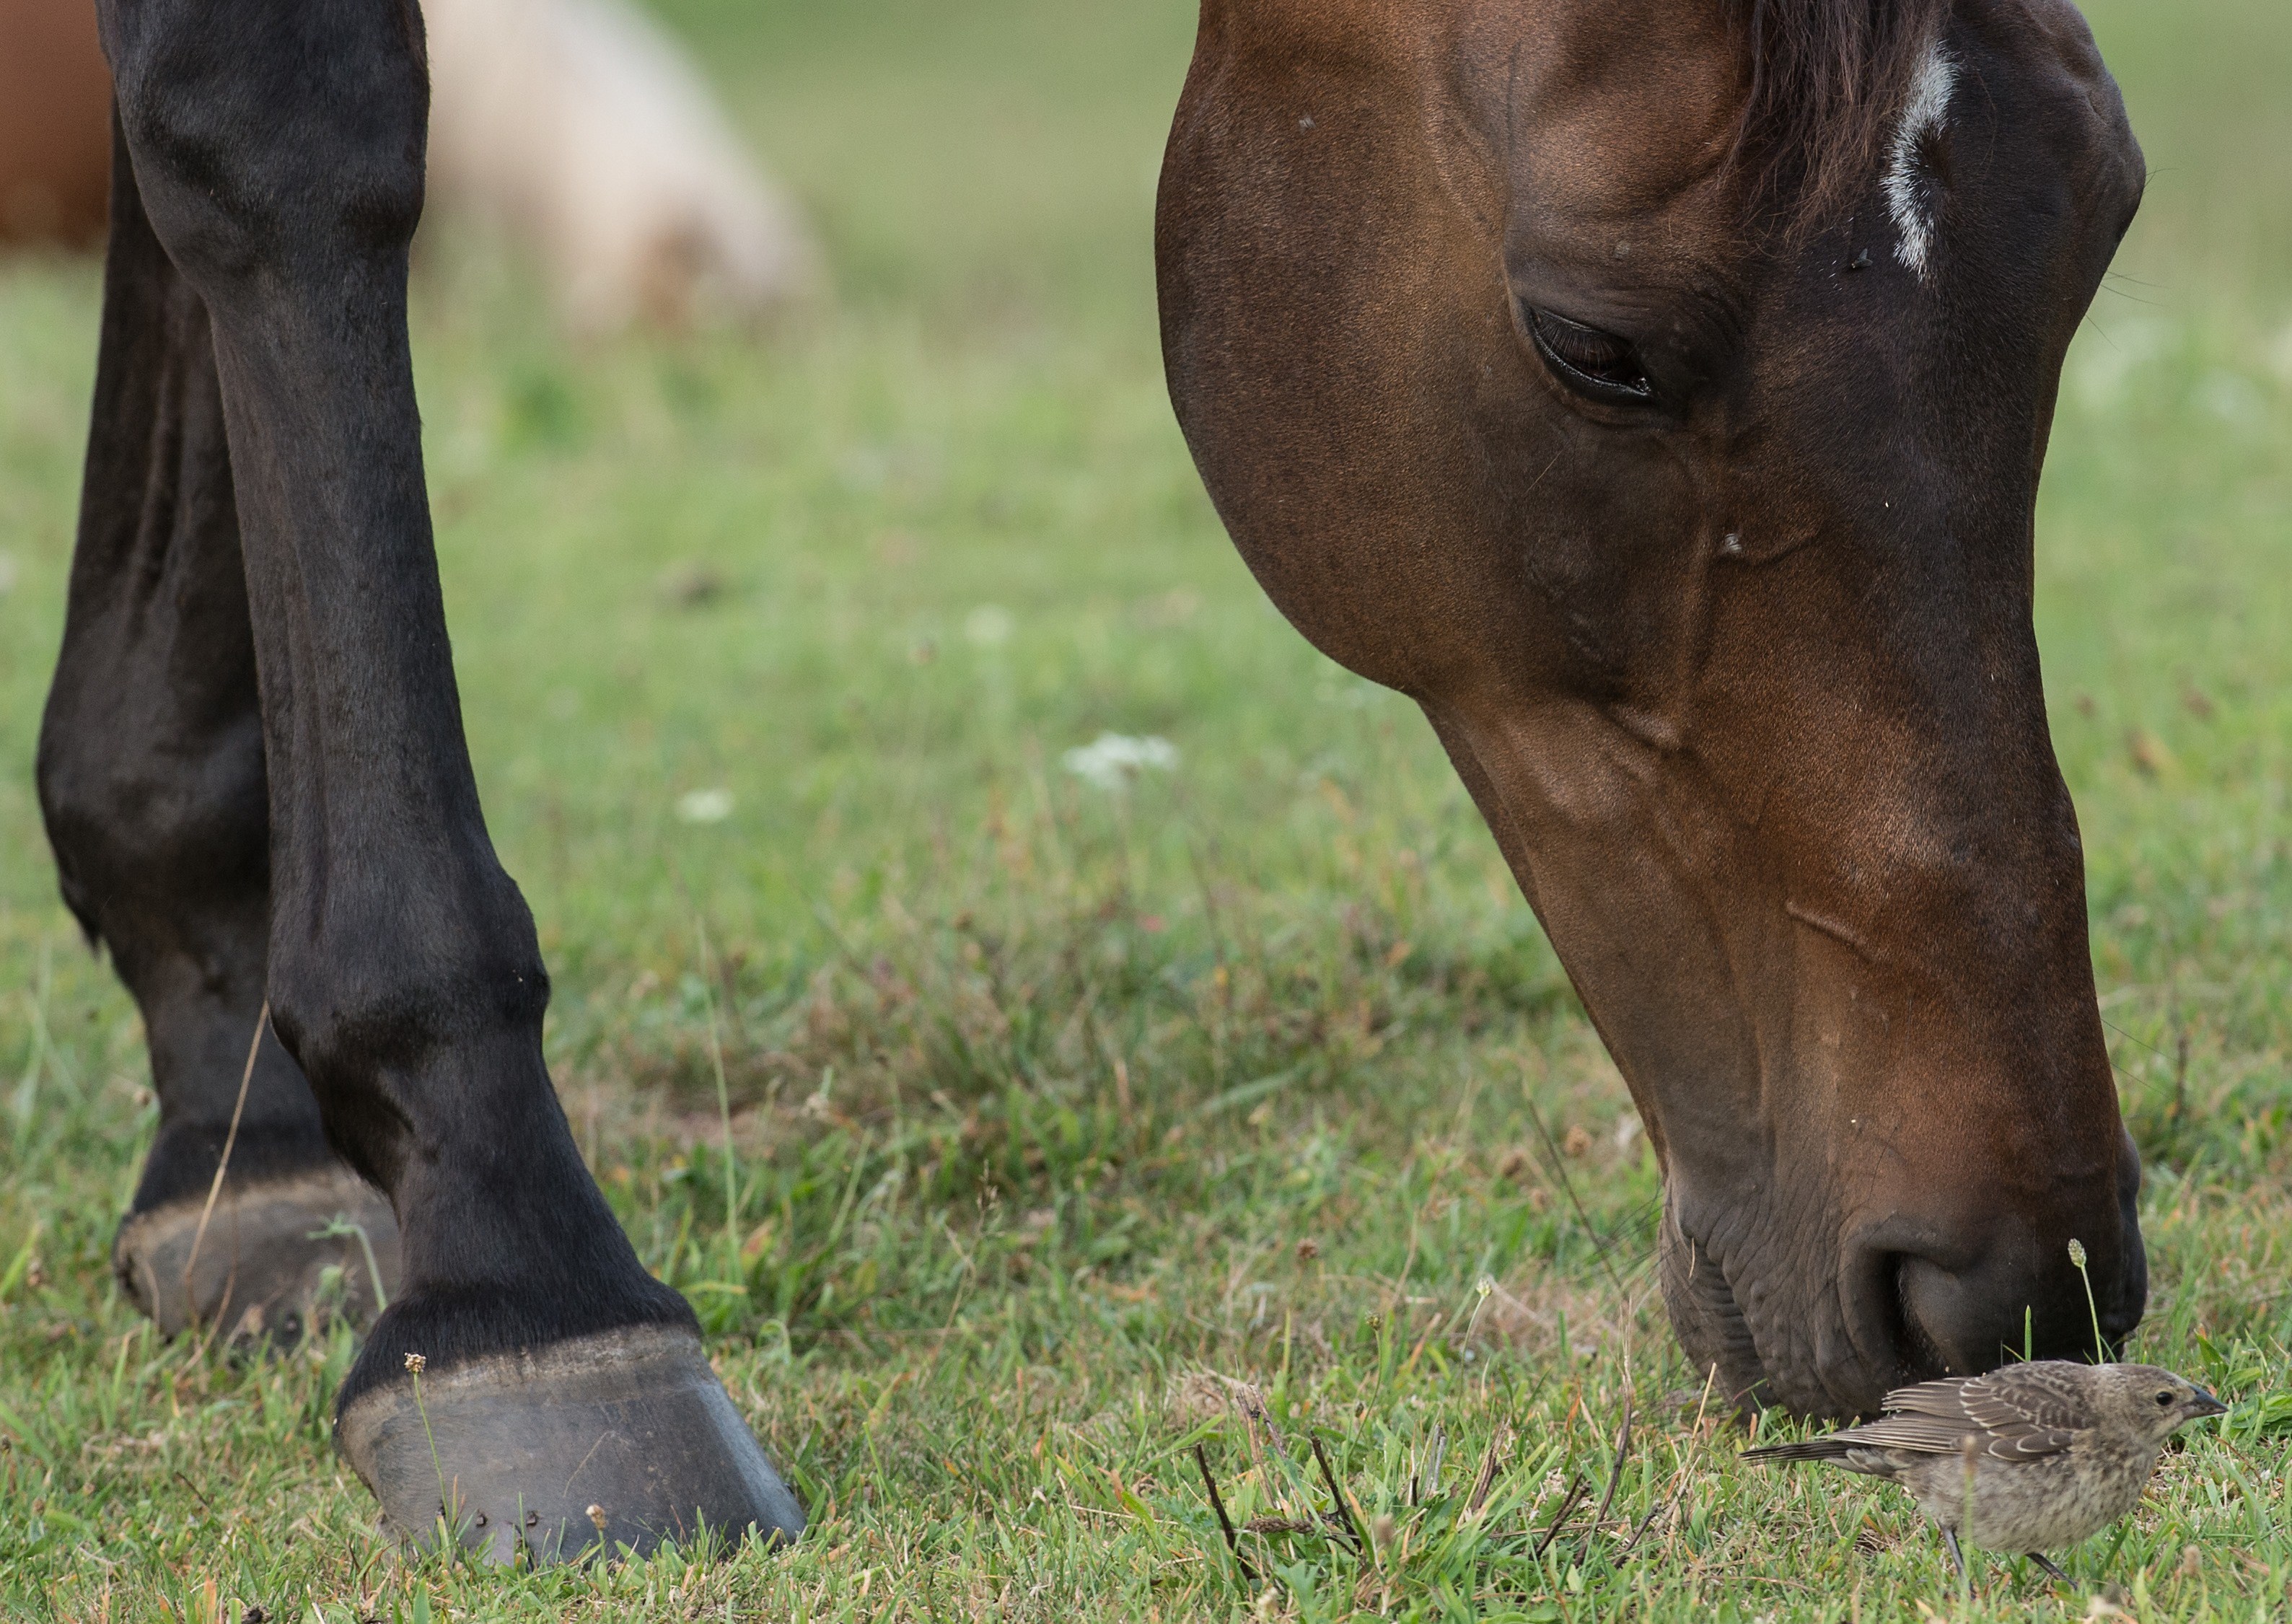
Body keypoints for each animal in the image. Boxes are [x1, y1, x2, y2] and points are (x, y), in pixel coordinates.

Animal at [32, 0, 2147, 1563]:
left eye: (2098, 216)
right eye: (1593, 345)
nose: (2016, 1285)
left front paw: (245, 1111)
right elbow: (278, 110)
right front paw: (505, 1244)